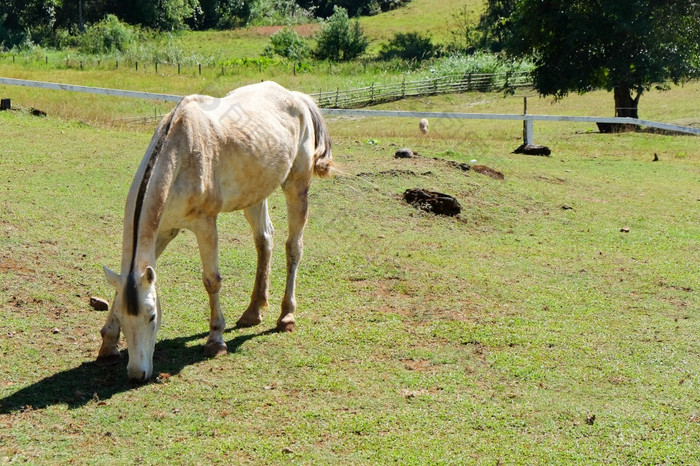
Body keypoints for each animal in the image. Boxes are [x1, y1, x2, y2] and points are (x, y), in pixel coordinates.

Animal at [96, 82, 334, 382]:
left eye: (152, 316)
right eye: (125, 317)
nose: (137, 373)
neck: (180, 153)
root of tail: (296, 97)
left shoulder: (205, 224)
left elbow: (212, 281)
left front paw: (215, 341)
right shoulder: (164, 231)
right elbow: (120, 292)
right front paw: (108, 344)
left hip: (297, 188)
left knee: (293, 247)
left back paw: (286, 317)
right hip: (255, 193)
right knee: (264, 240)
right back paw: (253, 311)